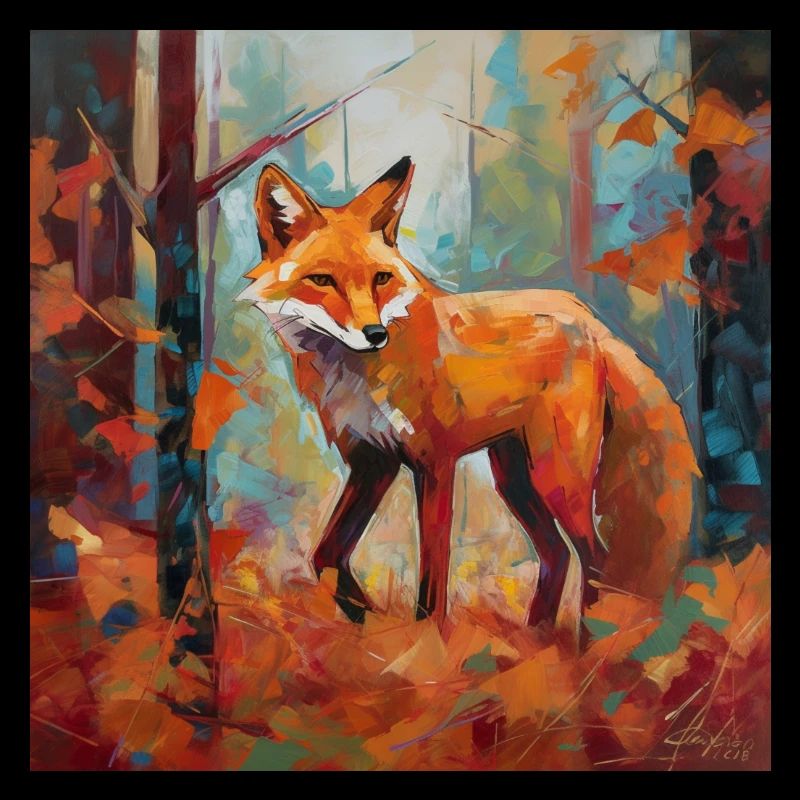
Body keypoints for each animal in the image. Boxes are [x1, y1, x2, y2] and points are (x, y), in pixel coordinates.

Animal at [236, 155, 701, 644]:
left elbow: (433, 570)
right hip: (514, 476)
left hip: (556, 478)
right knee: (557, 554)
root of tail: (591, 320)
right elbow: (326, 554)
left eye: (381, 279)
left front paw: (426, 641)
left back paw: (587, 644)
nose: (374, 333)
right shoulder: (371, 459)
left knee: (594, 555)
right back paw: (534, 640)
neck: (356, 376)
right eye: (322, 280)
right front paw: (364, 615)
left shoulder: (433, 461)